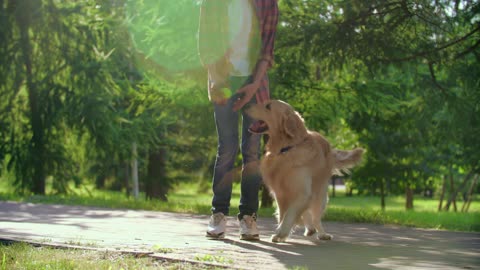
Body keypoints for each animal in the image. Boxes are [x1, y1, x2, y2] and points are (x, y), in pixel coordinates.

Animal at [248, 99, 364, 243]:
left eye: (268, 106)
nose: (246, 106)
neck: (286, 148)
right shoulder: (280, 193)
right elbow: (283, 214)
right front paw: (281, 235)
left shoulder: (302, 192)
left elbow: (290, 214)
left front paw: (281, 232)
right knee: (307, 213)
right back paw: (309, 229)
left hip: (320, 194)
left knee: (316, 217)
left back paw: (322, 233)